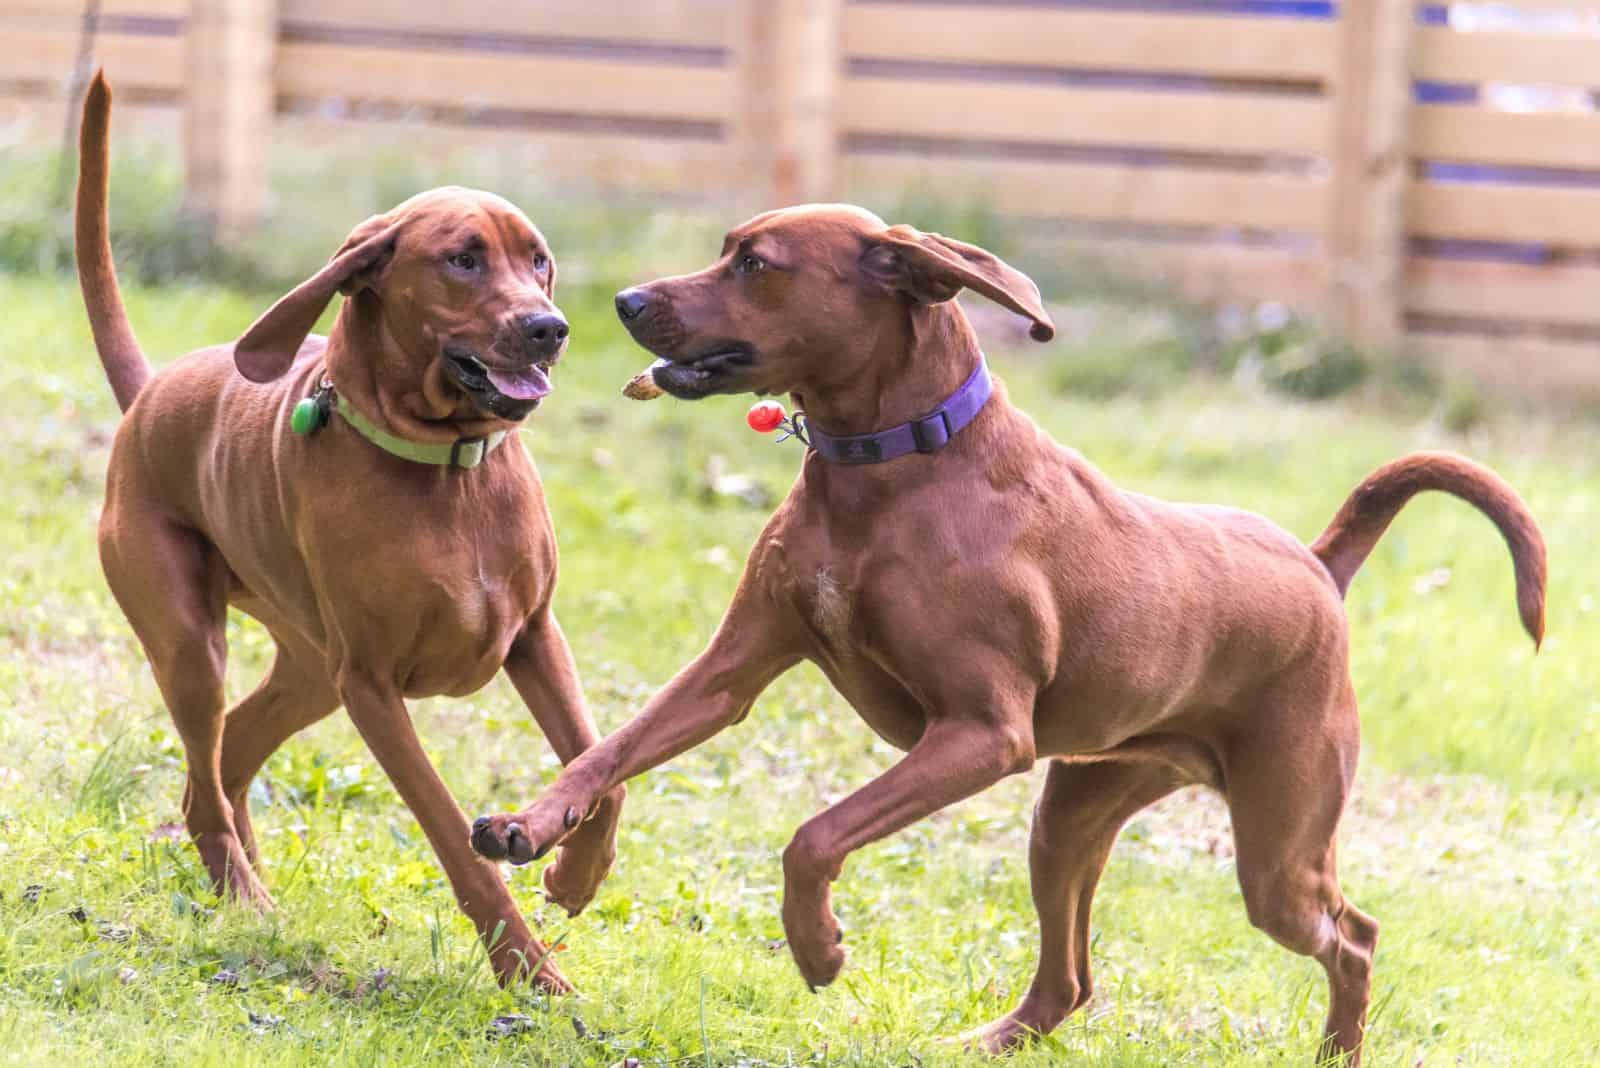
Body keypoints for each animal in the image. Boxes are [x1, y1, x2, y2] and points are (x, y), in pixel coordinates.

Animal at [473, 204, 1548, 1055]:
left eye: (756, 264)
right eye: (727, 249)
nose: (618, 303)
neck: (892, 467)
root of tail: (1319, 567)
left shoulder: (982, 735)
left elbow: (814, 836)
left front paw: (817, 948)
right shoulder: (732, 670)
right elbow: (611, 749)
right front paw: (536, 831)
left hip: (1277, 852)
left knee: (1353, 937)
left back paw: (1336, 1051)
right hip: (1073, 810)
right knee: (1070, 979)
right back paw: (983, 1042)